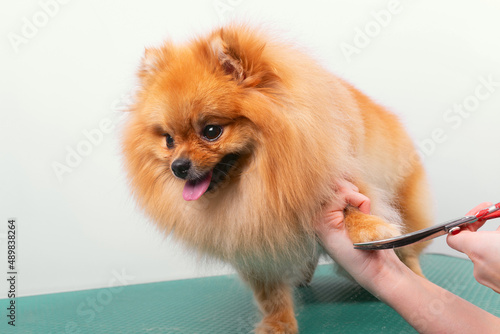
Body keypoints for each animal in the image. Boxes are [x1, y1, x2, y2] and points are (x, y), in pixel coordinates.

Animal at [121, 24, 430, 332]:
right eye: (169, 140)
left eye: (211, 131)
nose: (178, 166)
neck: (260, 180)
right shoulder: (254, 243)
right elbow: (269, 293)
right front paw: (278, 324)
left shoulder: (333, 175)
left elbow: (350, 204)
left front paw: (368, 227)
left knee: (410, 249)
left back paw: (418, 280)